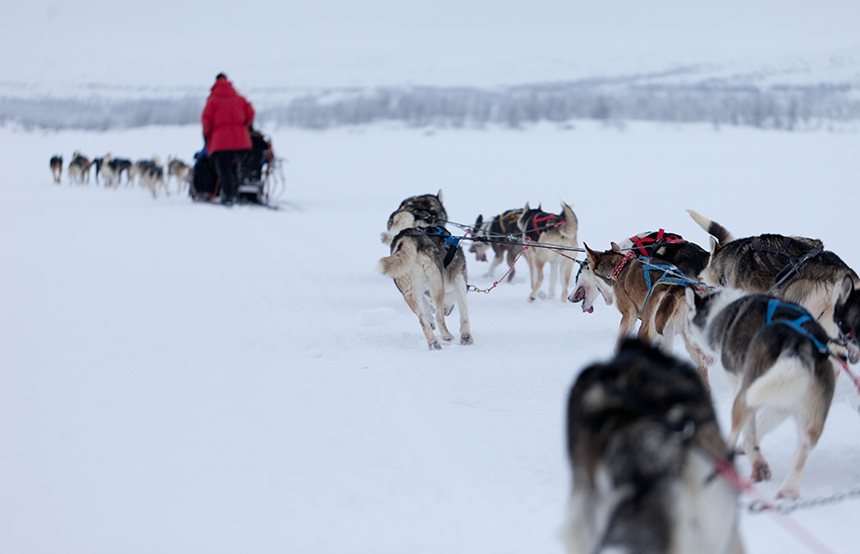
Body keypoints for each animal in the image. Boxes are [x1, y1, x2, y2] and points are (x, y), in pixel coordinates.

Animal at [684, 286, 840, 498]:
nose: (690, 341)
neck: (720, 311)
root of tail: (801, 341)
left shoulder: (740, 384)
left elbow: (750, 431)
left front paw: (755, 461)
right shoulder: (782, 403)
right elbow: (763, 423)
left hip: (747, 393)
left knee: (735, 428)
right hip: (810, 415)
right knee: (804, 447)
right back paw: (789, 491)